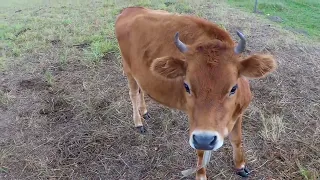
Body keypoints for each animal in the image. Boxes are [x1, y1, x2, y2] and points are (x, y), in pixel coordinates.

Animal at [115, 6, 278, 179]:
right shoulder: (197, 126)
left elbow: (237, 140)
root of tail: (130, 9)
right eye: (186, 86)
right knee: (133, 93)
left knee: (141, 90)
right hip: (128, 68)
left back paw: (144, 111)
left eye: (233, 88)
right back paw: (138, 122)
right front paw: (200, 174)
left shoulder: (239, 113)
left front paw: (241, 166)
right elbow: (201, 150)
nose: (206, 139)